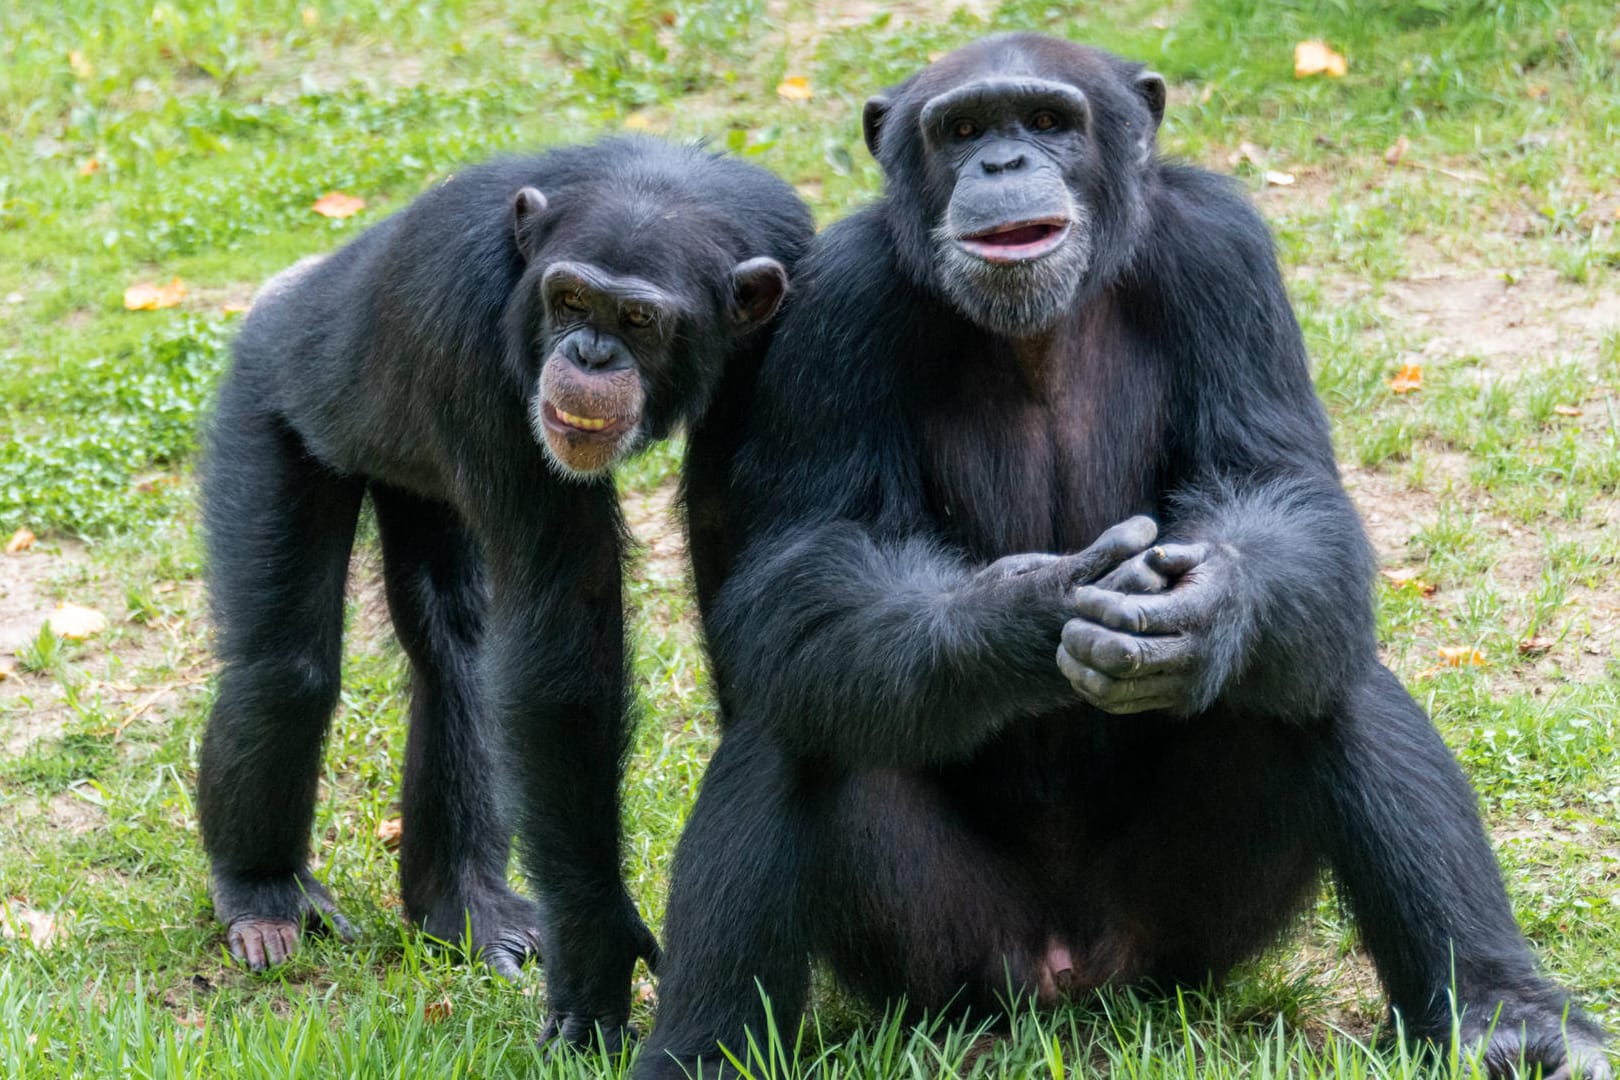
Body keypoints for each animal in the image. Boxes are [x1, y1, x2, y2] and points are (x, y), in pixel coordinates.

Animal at [197, 132, 816, 1049]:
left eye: (637, 319)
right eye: (570, 299)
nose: (588, 354)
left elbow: (734, 542)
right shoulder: (468, 330)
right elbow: (563, 623)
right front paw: (596, 949)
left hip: (418, 488)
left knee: (455, 651)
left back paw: (464, 906)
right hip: (264, 402)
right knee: (283, 667)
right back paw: (263, 892)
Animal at [638, 33, 1613, 1080]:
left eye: (1048, 121)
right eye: (964, 129)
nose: (1003, 164)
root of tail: (1074, 978)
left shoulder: (1225, 252)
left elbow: (1287, 493)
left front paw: (1209, 613)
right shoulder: (839, 298)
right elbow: (807, 559)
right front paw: (1022, 616)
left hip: (1184, 935)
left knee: (1327, 674)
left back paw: (1510, 1017)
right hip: (946, 958)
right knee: (799, 711)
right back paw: (697, 1050)